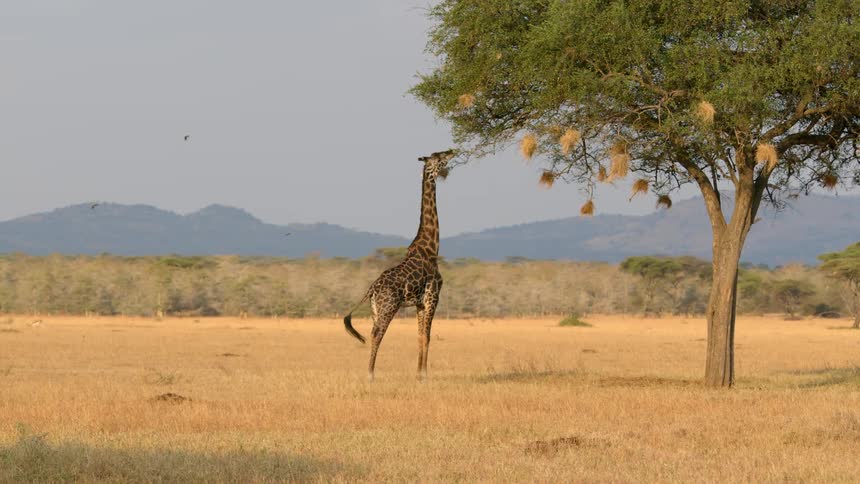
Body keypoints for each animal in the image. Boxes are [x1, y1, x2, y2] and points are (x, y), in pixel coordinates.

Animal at [343, 149, 455, 380]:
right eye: (439, 157)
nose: (452, 151)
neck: (432, 248)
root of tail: (371, 289)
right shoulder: (432, 297)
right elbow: (427, 336)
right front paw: (424, 376)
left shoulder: (420, 303)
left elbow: (420, 336)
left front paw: (419, 374)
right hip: (388, 308)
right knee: (377, 334)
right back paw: (370, 375)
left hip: (376, 309)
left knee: (372, 332)